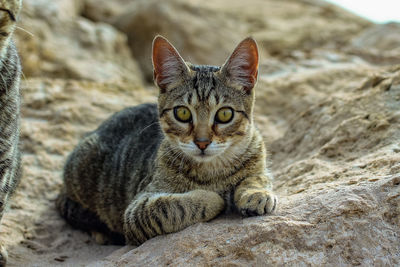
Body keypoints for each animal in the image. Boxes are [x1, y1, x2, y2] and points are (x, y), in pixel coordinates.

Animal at [56, 35, 276, 247]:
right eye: (182, 113)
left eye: (224, 114)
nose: (202, 142)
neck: (213, 172)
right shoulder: (137, 210)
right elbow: (173, 207)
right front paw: (214, 197)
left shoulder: (259, 159)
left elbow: (257, 177)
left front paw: (256, 193)